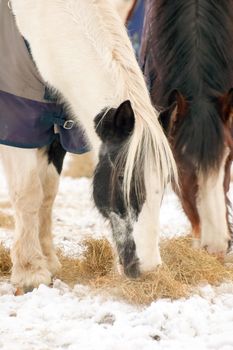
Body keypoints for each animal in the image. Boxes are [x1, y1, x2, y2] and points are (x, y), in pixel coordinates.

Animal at [3, 0, 177, 290]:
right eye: (122, 177)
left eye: (163, 182)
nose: (149, 267)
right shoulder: (19, 122)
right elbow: (28, 194)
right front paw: (30, 272)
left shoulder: (58, 128)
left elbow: (47, 194)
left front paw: (48, 261)